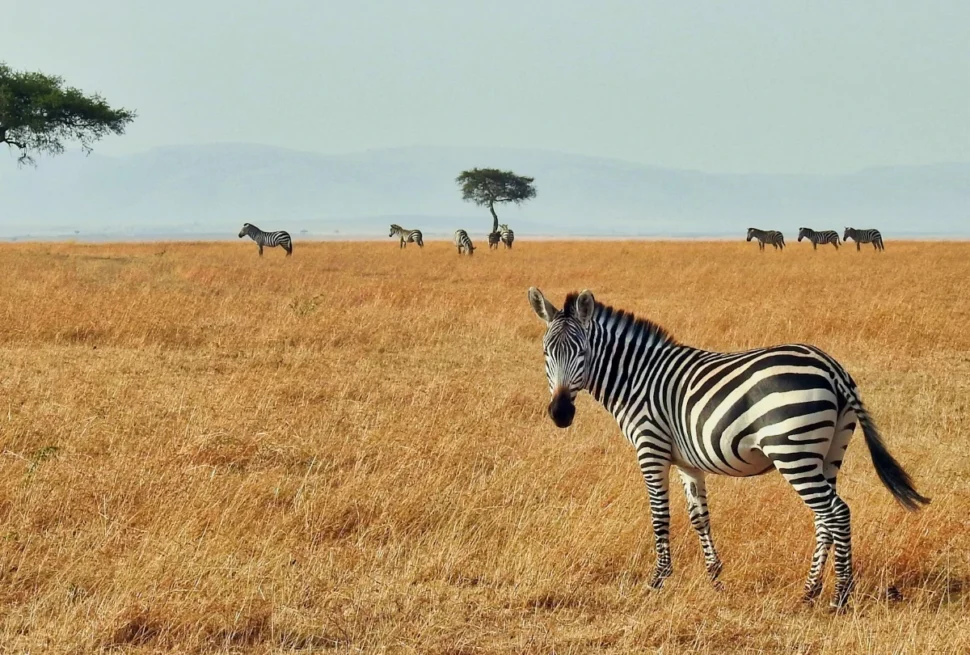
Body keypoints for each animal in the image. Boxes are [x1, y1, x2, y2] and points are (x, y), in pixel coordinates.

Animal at [527, 288, 928, 608]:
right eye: (546, 352)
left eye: (581, 351)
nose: (560, 414)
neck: (636, 377)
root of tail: (831, 367)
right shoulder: (687, 461)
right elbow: (699, 517)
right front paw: (714, 577)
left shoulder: (651, 448)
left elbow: (660, 516)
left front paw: (657, 580)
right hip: (829, 453)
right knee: (825, 518)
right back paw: (810, 591)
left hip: (792, 450)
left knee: (838, 513)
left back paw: (840, 596)